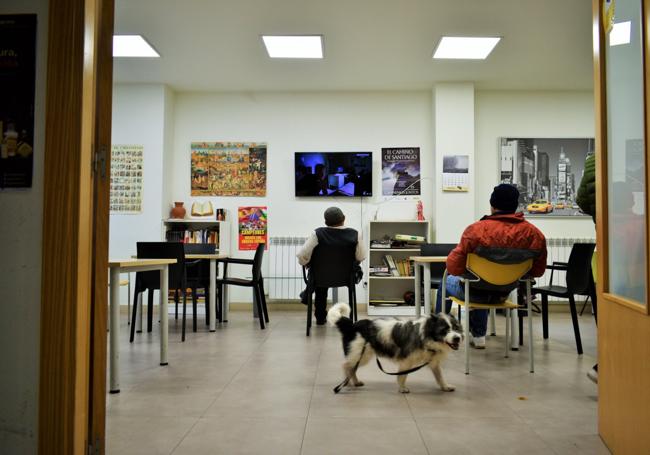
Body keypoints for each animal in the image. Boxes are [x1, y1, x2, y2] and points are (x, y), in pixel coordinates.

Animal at [330, 304, 460, 394]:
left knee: (351, 367)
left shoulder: (433, 361)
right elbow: (402, 376)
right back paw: (348, 383)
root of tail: (352, 326)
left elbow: (440, 376)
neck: (425, 335)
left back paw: (355, 382)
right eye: (444, 330)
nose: (457, 338)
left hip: (361, 355)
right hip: (360, 354)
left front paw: (445, 387)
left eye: (456, 328)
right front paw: (402, 388)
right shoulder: (407, 360)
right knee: (346, 366)